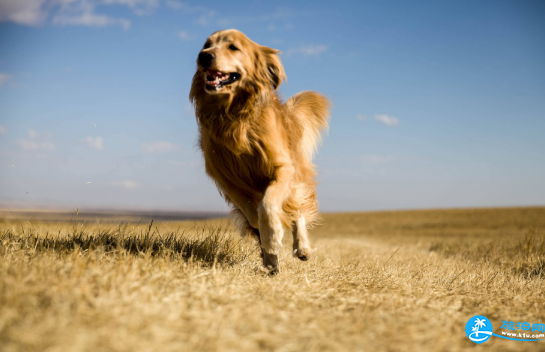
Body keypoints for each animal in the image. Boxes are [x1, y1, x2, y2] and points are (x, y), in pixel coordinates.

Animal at [189, 29, 330, 272]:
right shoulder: (224, 175)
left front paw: (272, 234)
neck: (234, 115)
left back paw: (301, 247)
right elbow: (250, 209)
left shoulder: (282, 167)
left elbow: (268, 203)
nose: (203, 56)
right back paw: (271, 263)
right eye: (206, 45)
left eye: (233, 47)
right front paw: (267, 238)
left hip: (297, 173)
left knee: (298, 209)